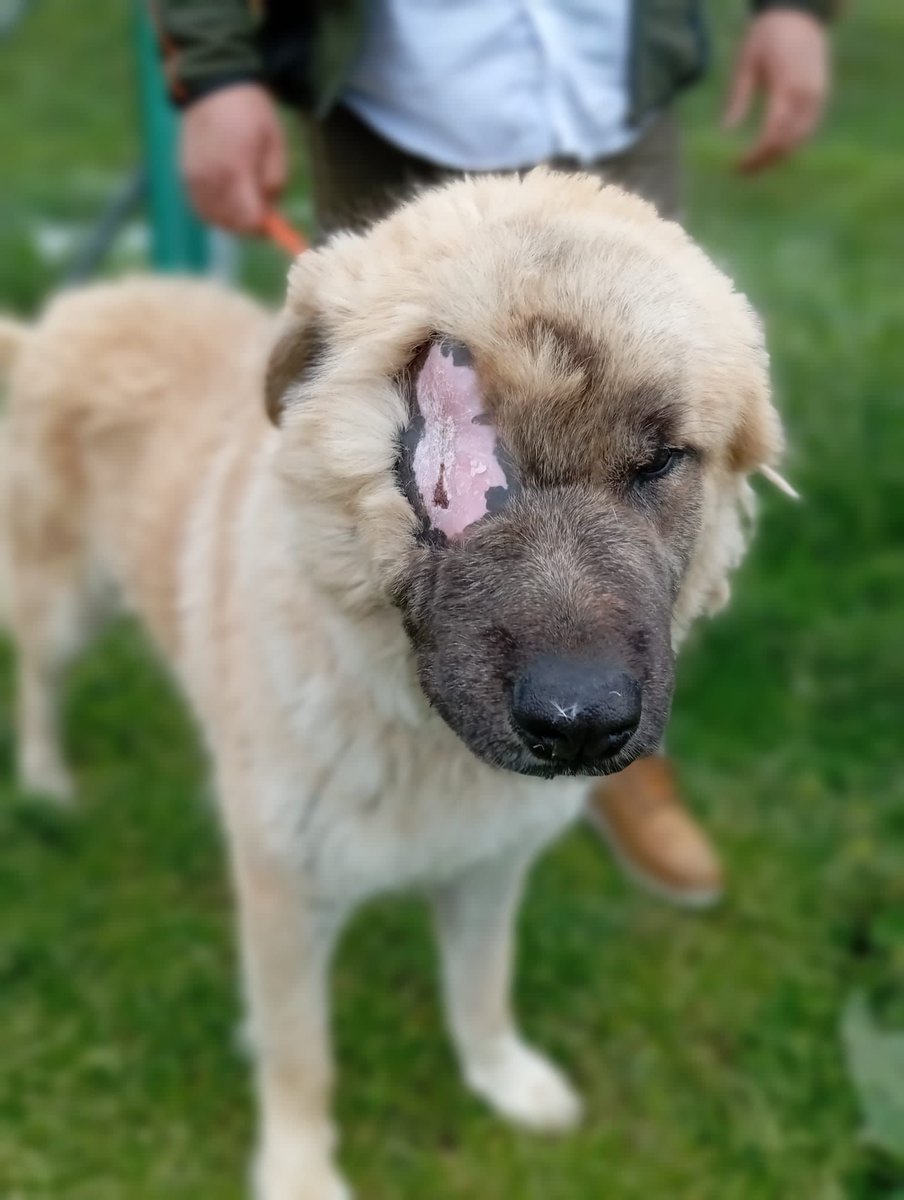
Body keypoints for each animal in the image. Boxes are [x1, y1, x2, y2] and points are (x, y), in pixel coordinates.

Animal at [0, 171, 782, 1200]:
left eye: (659, 461)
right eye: (450, 461)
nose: (580, 726)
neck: (415, 732)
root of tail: (78, 308)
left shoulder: (490, 871)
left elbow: (481, 991)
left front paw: (504, 1081)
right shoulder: (285, 891)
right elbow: (300, 1056)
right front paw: (296, 1170)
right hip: (67, 599)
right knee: (38, 680)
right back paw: (46, 783)